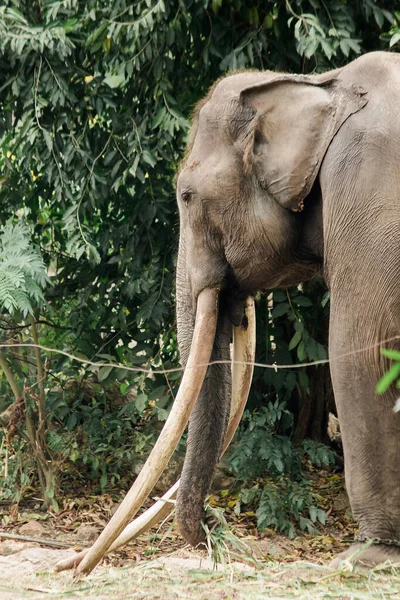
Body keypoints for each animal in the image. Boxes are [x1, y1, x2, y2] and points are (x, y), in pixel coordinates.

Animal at [173, 51, 400, 568]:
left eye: (186, 196)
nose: (217, 524)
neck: (321, 84)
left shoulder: (366, 189)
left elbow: (359, 347)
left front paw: (367, 557)